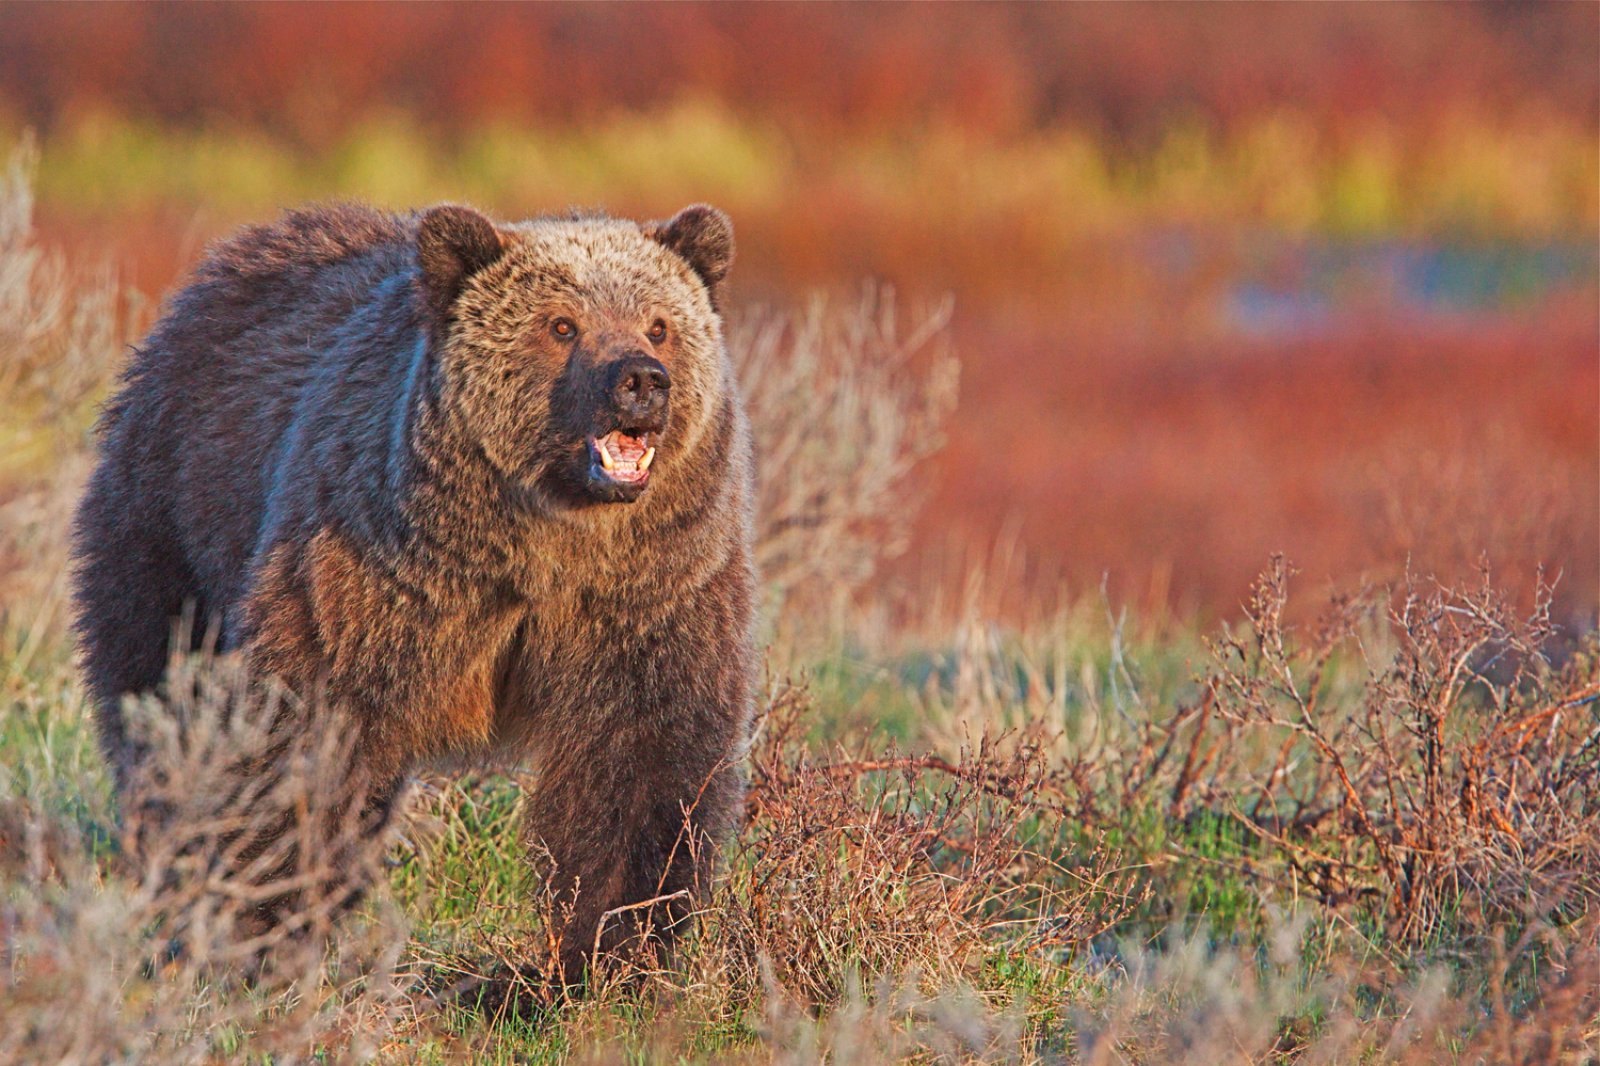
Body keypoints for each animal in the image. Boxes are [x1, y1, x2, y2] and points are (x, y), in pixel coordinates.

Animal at [68, 199, 755, 979]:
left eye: (659, 324)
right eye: (561, 325)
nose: (640, 379)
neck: (538, 546)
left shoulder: (649, 594)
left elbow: (641, 763)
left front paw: (600, 952)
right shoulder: (376, 574)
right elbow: (306, 731)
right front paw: (262, 923)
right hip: (174, 520)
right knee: (158, 691)